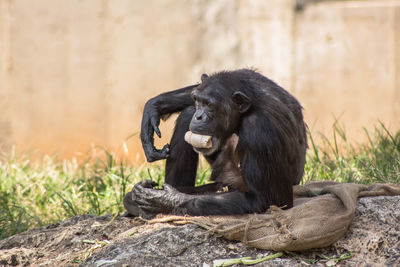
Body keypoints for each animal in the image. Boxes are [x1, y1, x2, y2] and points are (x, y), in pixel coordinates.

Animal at [123, 69, 308, 218]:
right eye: (197, 100)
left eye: (209, 104)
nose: (199, 116)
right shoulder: (247, 75)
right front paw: (155, 106)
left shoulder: (259, 132)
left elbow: (268, 199)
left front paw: (165, 200)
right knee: (186, 115)